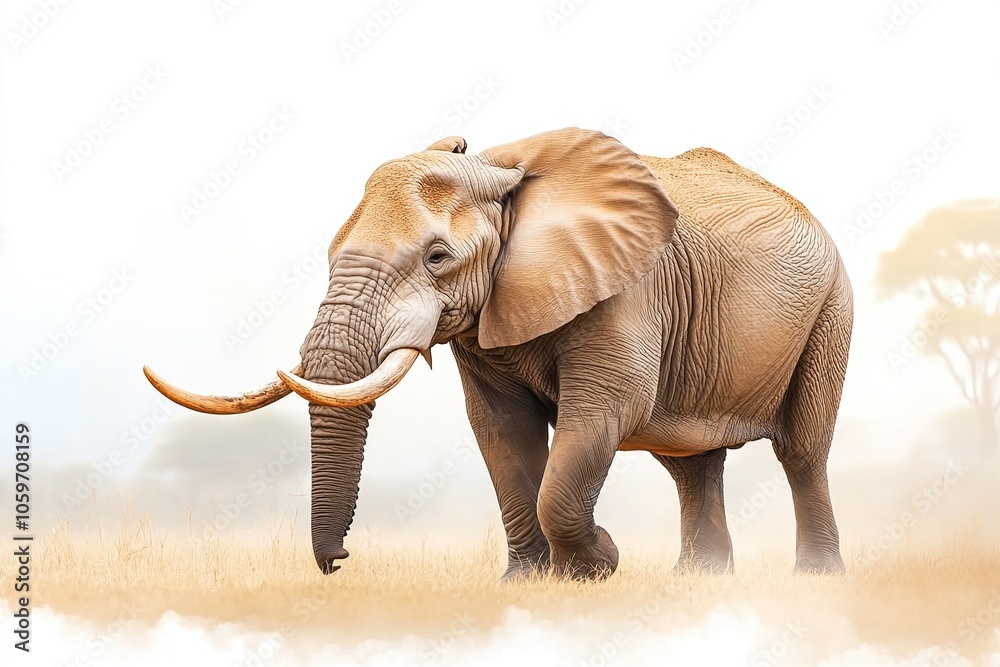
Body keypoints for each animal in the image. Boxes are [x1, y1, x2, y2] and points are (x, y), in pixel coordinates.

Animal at [145, 127, 852, 580]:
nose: (338, 562)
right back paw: (697, 582)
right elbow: (501, 428)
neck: (499, 170)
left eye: (437, 257)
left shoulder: (628, 288)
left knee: (800, 450)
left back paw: (815, 579)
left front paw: (598, 565)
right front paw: (529, 585)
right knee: (690, 463)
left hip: (831, 311)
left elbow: (604, 412)